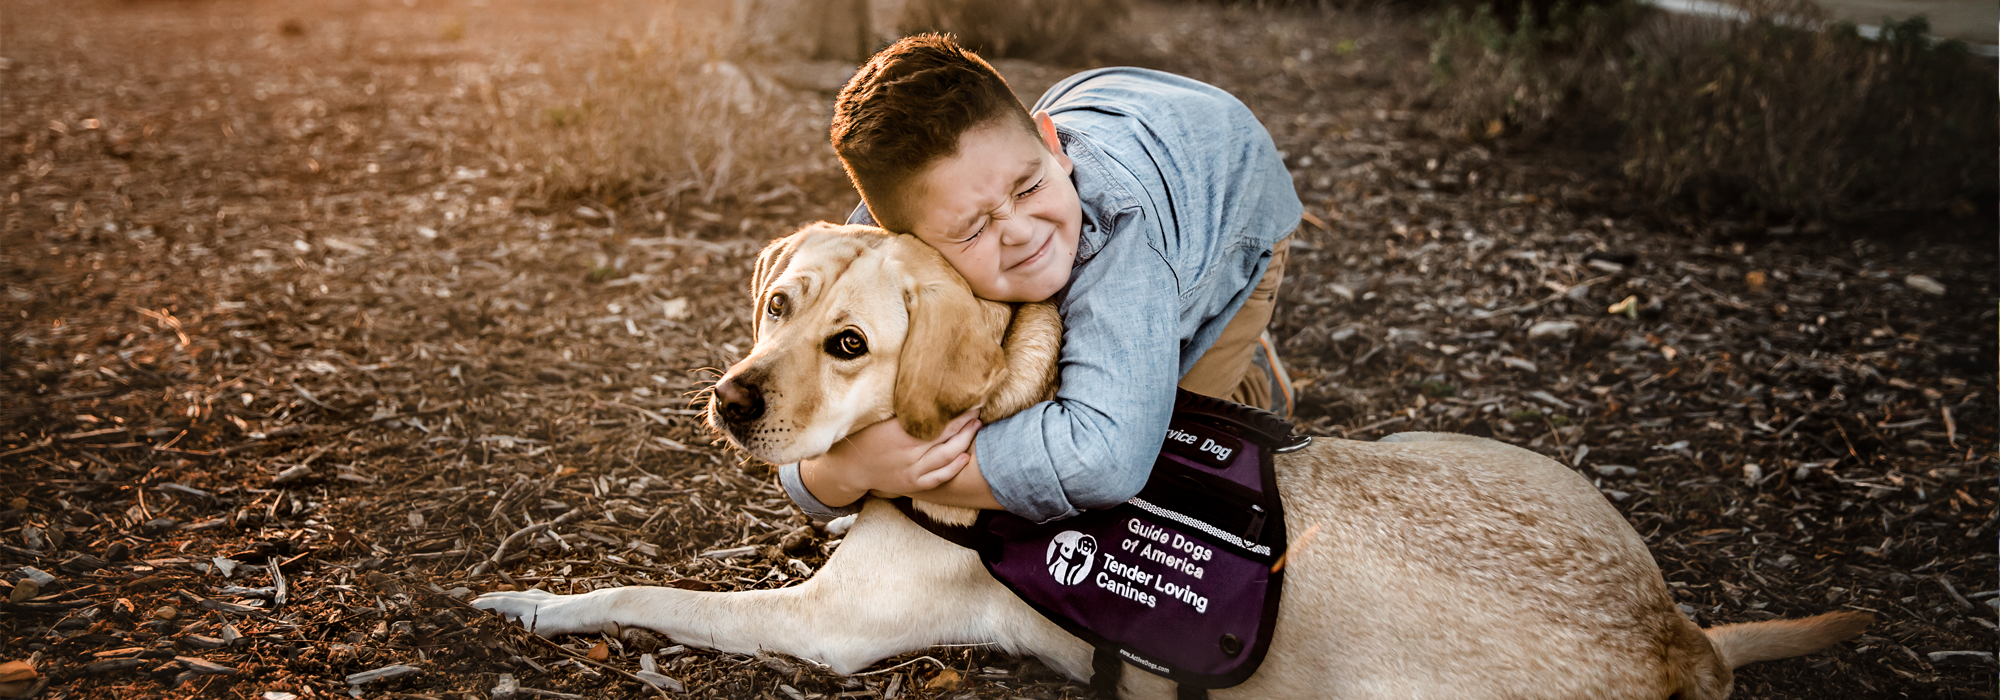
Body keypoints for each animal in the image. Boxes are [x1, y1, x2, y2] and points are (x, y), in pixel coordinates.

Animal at [476, 223, 1864, 700]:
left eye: (850, 342)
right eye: (776, 304)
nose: (731, 398)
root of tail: (1677, 637)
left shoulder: (821, 629)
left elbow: (648, 593)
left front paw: (537, 597)